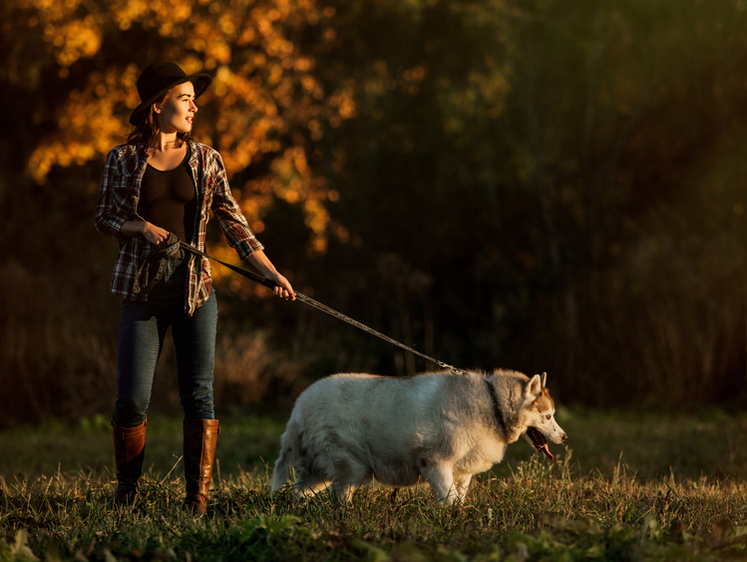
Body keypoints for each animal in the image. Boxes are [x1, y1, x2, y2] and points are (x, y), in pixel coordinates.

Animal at [270, 368, 568, 504]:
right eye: (548, 416)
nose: (565, 438)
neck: (492, 404)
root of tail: (299, 405)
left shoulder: (463, 473)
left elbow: (458, 499)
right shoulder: (436, 464)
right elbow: (447, 499)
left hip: (320, 470)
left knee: (300, 490)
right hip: (352, 467)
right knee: (339, 494)